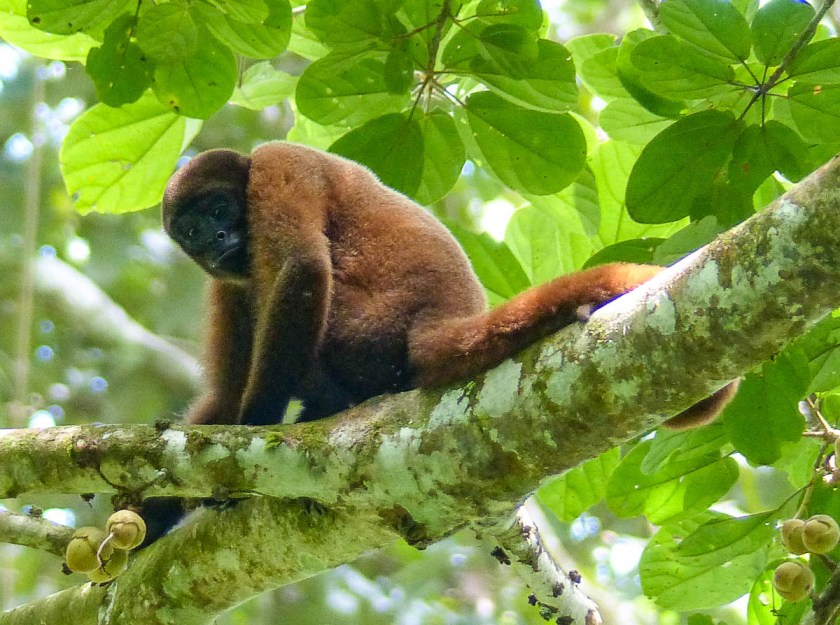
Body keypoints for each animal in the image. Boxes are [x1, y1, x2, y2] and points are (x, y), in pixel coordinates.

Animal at [161, 141, 737, 429]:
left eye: (220, 209)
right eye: (190, 231)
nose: (214, 238)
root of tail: (443, 318)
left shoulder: (279, 162)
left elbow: (302, 267)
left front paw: (254, 425)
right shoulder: (227, 275)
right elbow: (222, 397)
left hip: (367, 328)